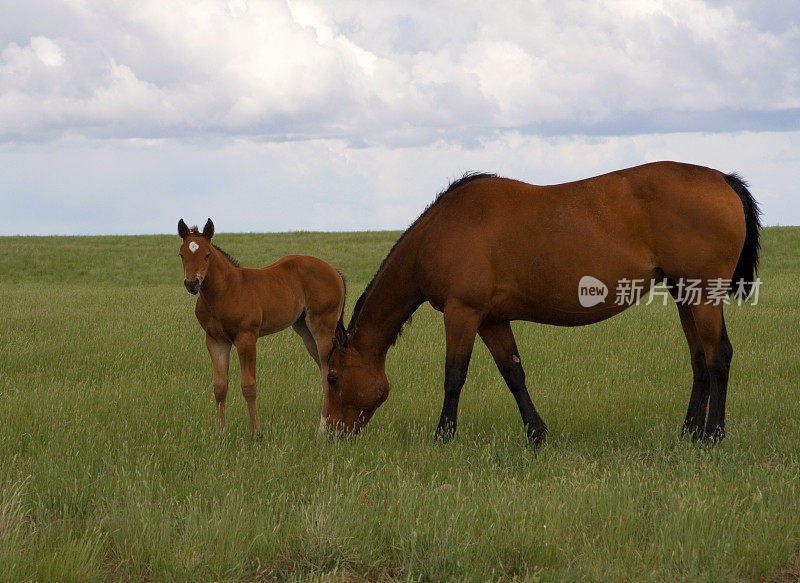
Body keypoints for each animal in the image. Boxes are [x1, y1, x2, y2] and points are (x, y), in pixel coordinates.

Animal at [178, 220, 344, 438]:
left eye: (207, 254)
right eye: (182, 254)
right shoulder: (215, 341)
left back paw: (322, 429)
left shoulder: (246, 338)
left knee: (327, 373)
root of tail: (334, 270)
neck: (225, 291)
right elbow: (219, 386)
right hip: (305, 331)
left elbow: (249, 385)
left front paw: (257, 433)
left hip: (323, 327)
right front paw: (220, 434)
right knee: (325, 372)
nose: (192, 283)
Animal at [324, 162, 764, 444]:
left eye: (333, 379)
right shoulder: (491, 319)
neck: (440, 230)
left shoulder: (463, 312)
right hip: (684, 294)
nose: (330, 433)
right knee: (700, 359)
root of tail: (723, 179)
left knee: (719, 356)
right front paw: (536, 434)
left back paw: (713, 435)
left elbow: (454, 376)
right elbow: (513, 374)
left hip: (703, 294)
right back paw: (689, 432)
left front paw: (443, 436)